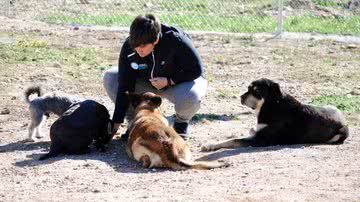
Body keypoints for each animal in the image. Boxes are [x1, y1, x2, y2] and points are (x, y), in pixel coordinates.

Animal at [201, 78, 348, 151]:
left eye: (256, 91)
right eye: (248, 88)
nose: (241, 97)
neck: (271, 105)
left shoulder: (260, 140)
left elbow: (234, 140)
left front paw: (210, 145)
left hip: (342, 132)